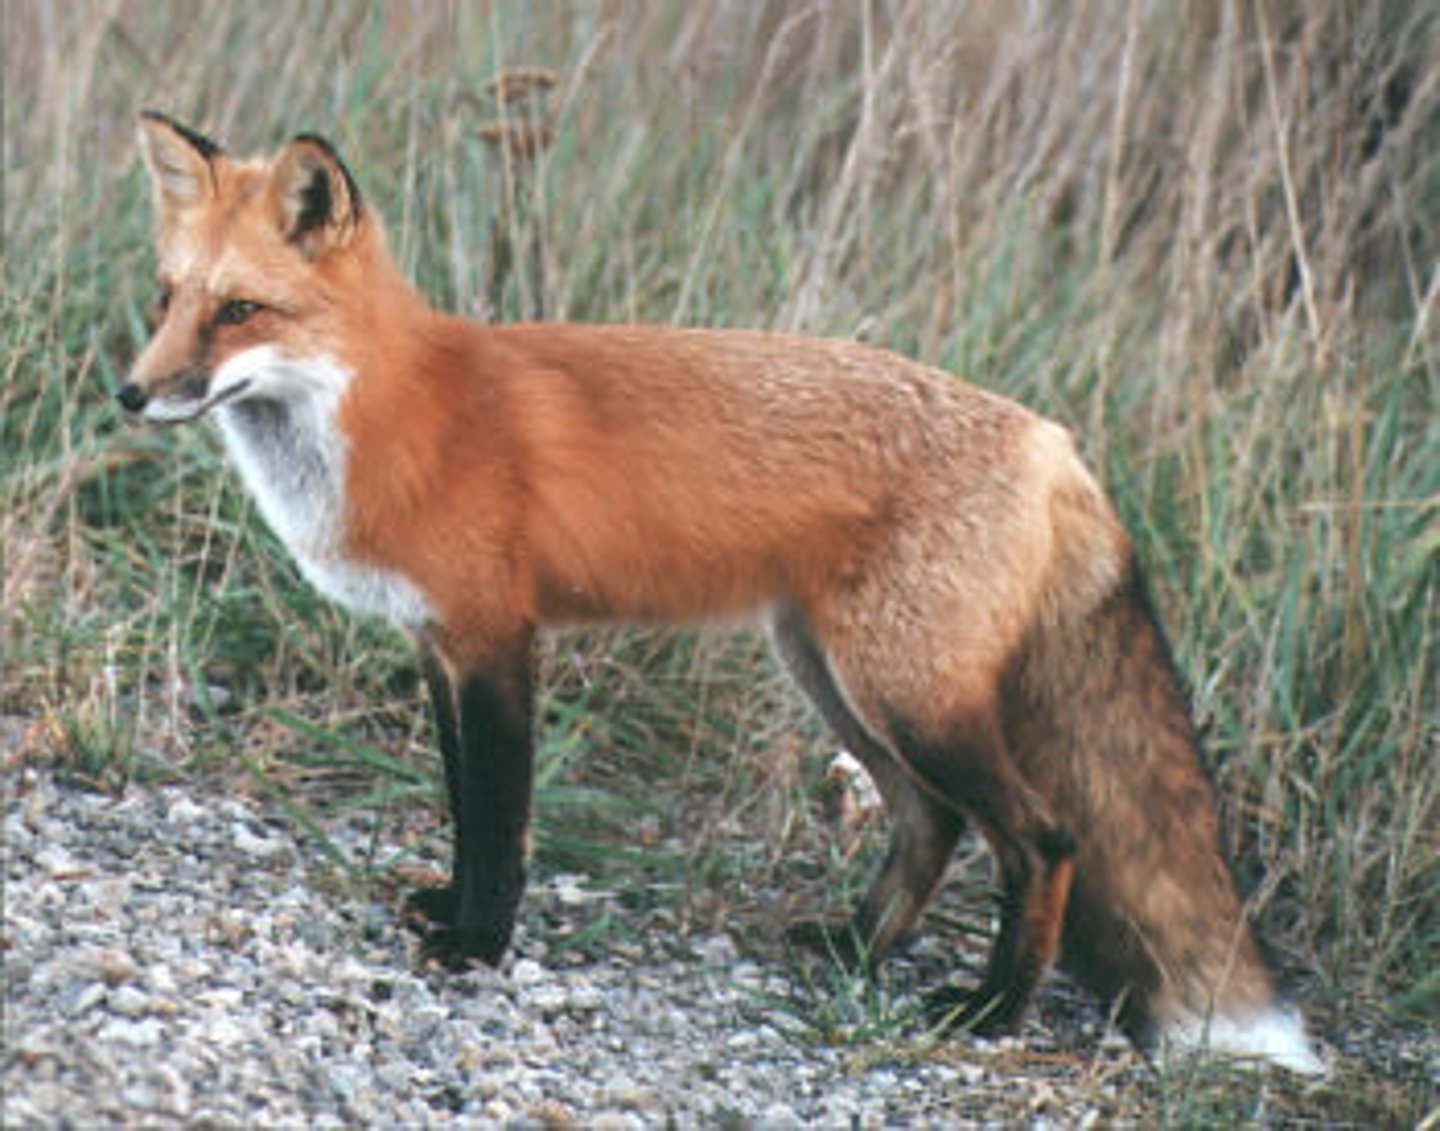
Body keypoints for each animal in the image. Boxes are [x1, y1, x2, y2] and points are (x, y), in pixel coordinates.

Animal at [118, 112, 1319, 1073]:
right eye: (169, 297)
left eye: (240, 310)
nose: (131, 393)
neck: (389, 410)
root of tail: (1053, 439)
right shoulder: (437, 644)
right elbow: (461, 799)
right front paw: (450, 910)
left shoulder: (498, 640)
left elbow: (499, 817)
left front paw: (477, 943)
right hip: (838, 680)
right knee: (929, 822)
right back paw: (855, 948)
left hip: (909, 695)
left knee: (1044, 837)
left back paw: (989, 1010)